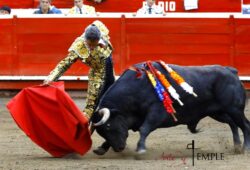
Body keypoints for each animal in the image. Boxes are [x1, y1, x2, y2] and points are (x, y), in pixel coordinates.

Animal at [91, 61, 249, 155]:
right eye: (102, 131)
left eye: (109, 126)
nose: (119, 148)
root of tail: (231, 71)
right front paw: (101, 148)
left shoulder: (156, 113)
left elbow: (144, 128)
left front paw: (141, 149)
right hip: (218, 112)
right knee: (232, 123)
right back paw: (236, 146)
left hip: (235, 109)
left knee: (245, 125)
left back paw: (245, 148)